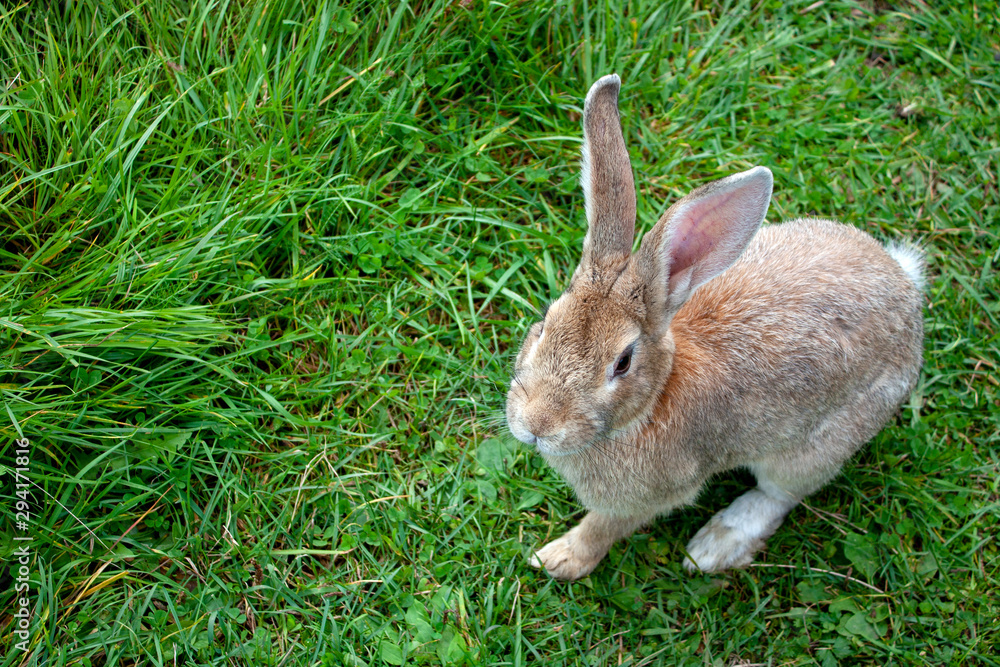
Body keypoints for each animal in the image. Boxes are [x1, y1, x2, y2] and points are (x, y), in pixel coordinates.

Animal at [504, 74, 924, 580]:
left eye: (622, 363)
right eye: (546, 322)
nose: (536, 425)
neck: (651, 402)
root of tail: (907, 289)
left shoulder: (650, 497)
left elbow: (603, 529)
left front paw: (559, 560)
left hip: (815, 448)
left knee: (779, 495)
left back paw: (713, 546)